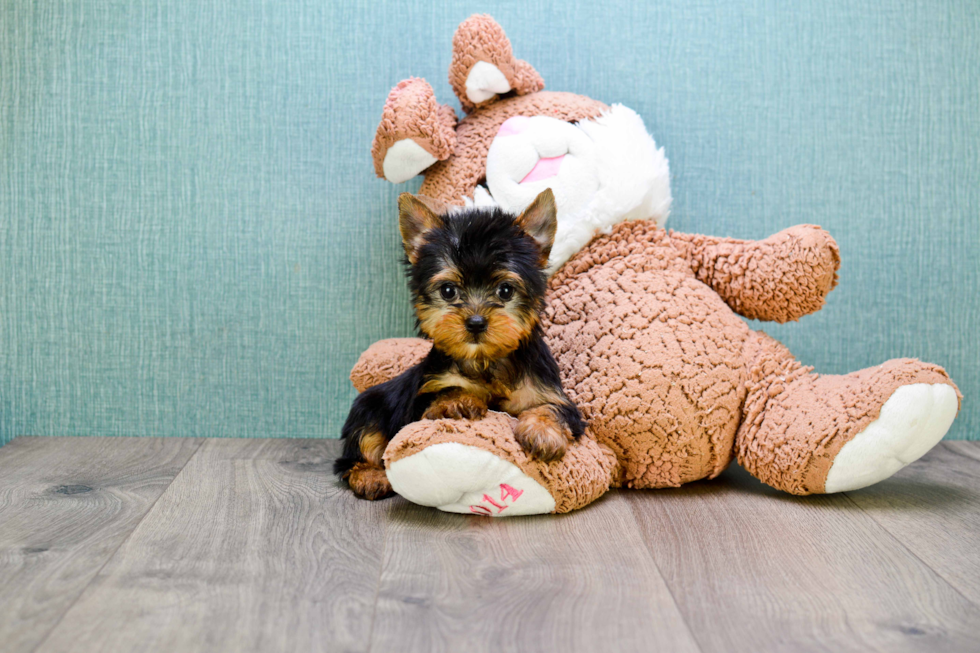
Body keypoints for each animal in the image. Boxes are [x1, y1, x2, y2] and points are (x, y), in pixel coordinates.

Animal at [334, 188, 584, 500]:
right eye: (448, 290)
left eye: (505, 290)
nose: (475, 322)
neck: (485, 360)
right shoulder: (423, 395)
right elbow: (446, 390)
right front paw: (459, 402)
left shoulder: (552, 394)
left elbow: (552, 409)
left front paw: (542, 433)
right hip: (367, 409)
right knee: (357, 450)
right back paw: (369, 476)